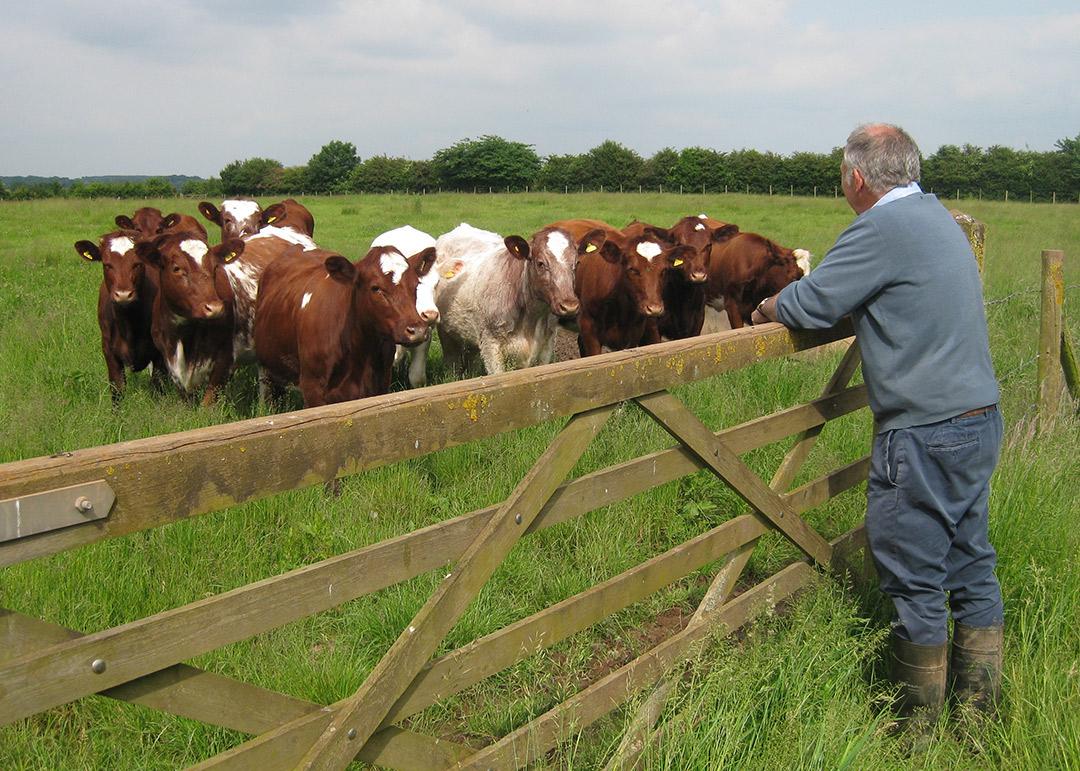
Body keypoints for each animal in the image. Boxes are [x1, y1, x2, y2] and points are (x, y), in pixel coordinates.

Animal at [73, 230, 163, 399]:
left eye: (138, 264)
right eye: (107, 264)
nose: (123, 294)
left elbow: (157, 387)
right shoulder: (109, 351)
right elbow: (117, 389)